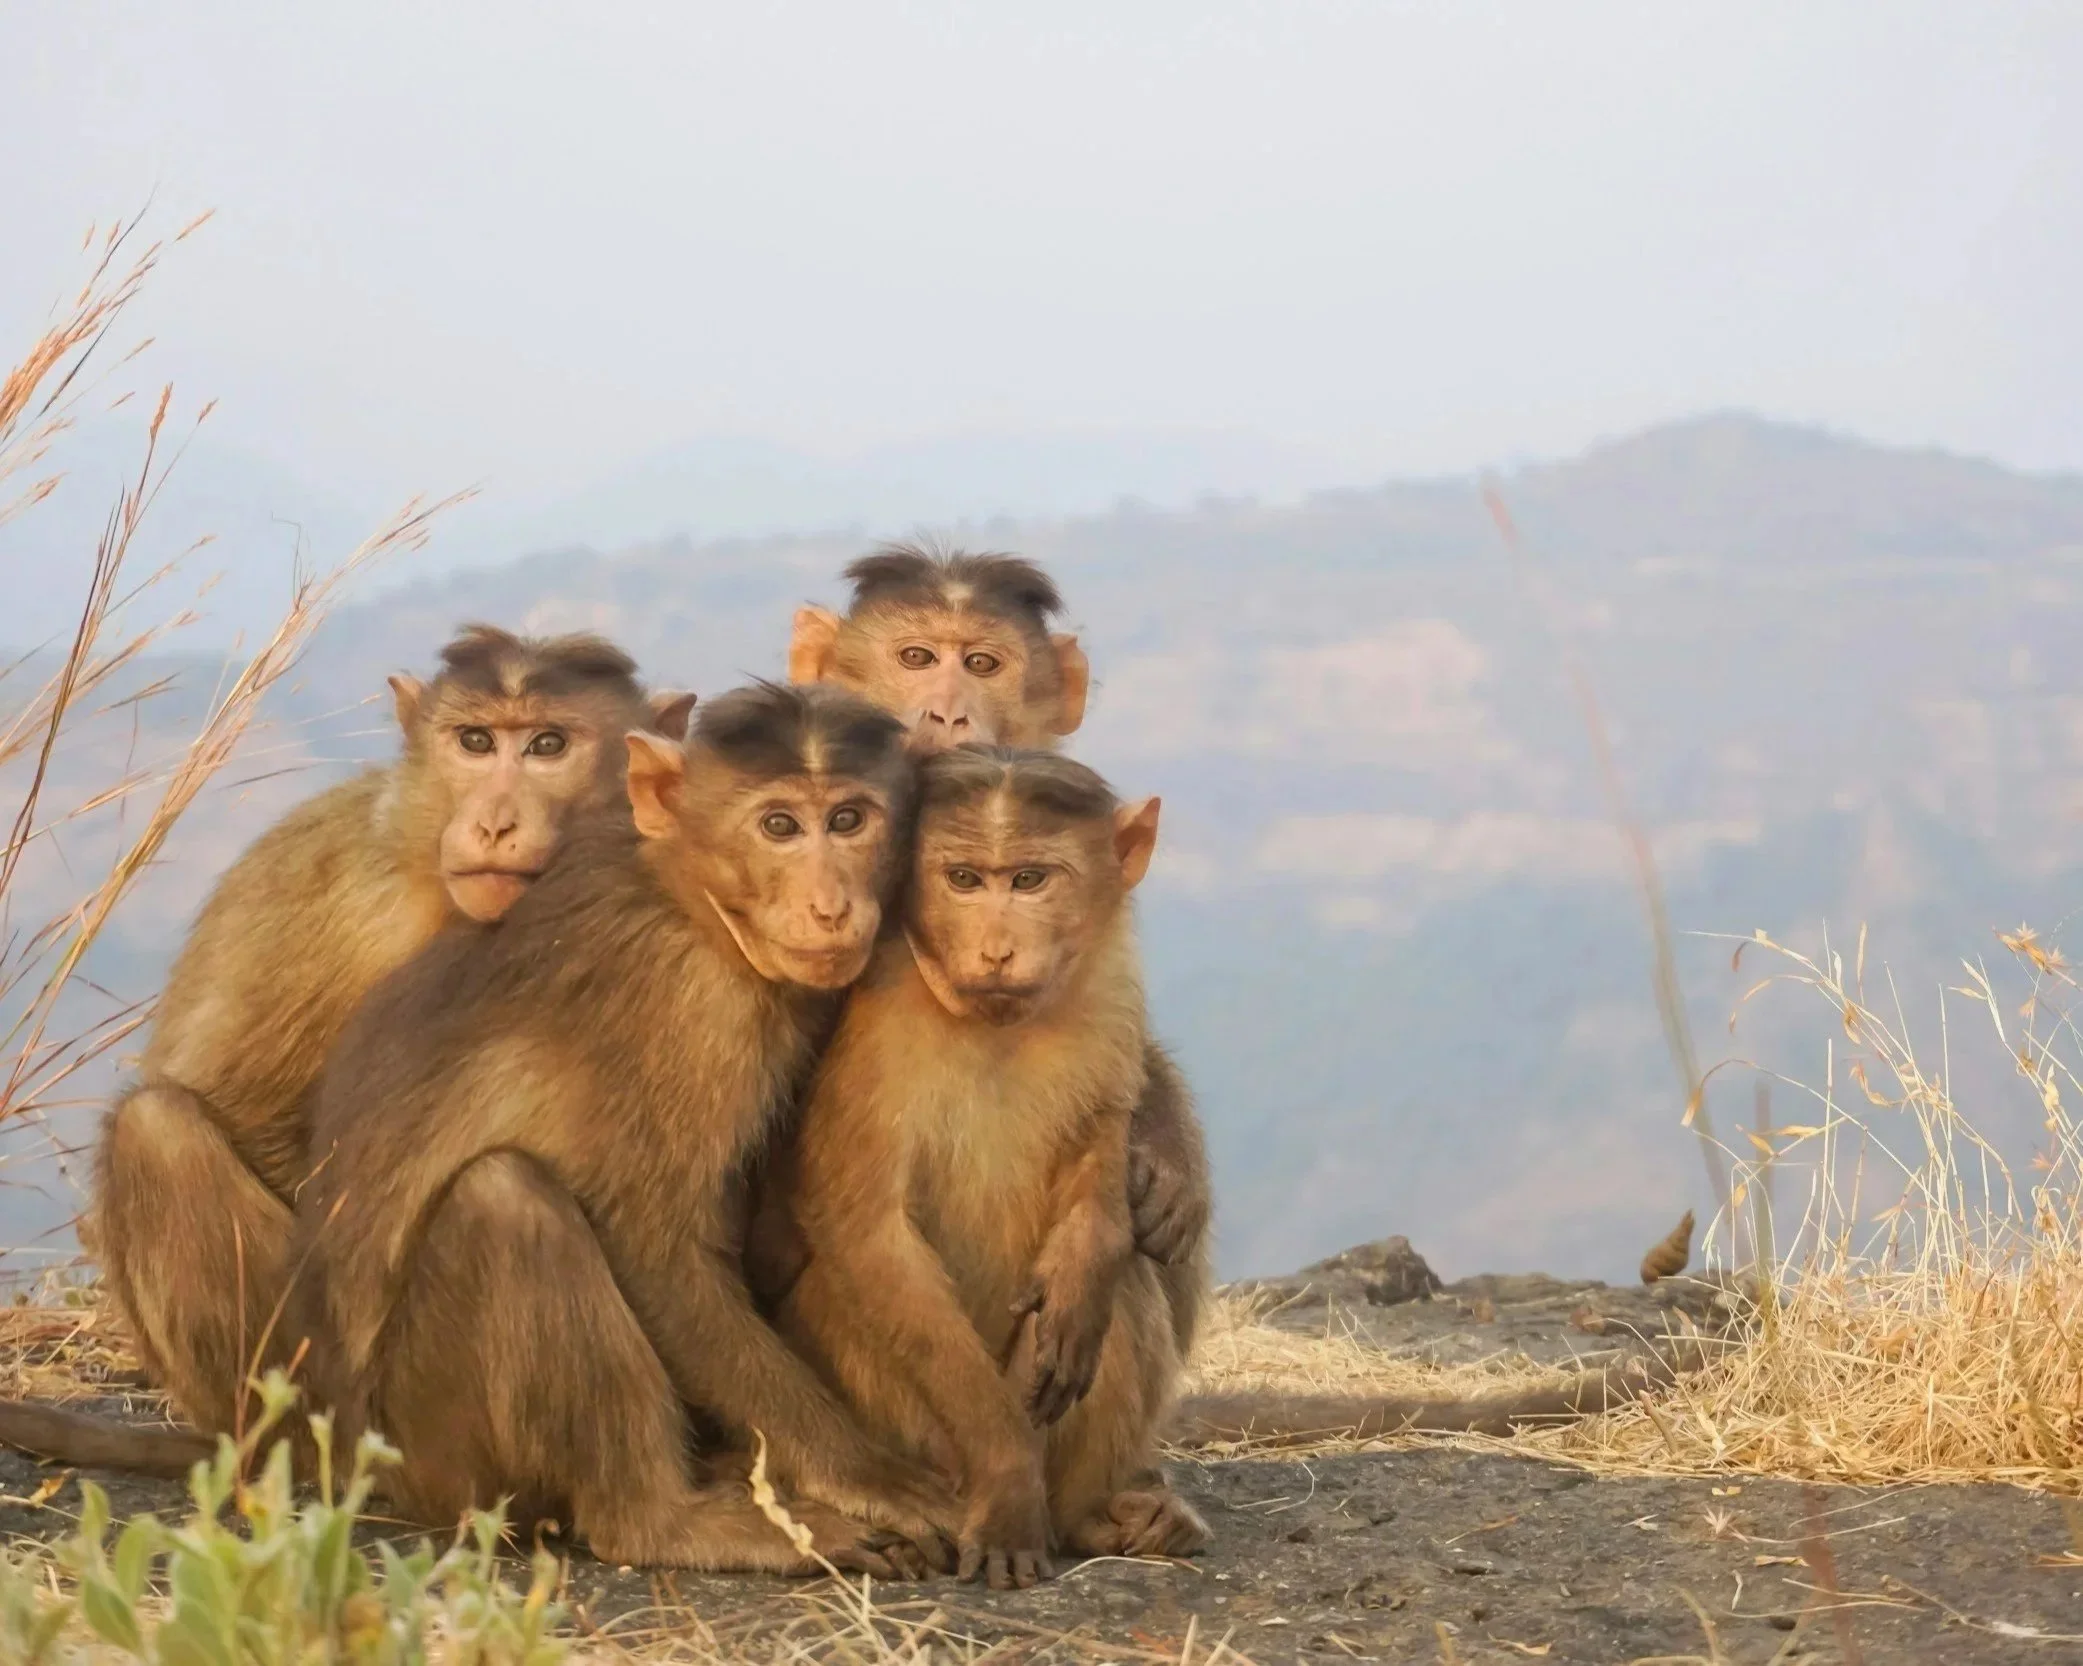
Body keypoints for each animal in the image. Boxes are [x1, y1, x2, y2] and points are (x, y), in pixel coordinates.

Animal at [86, 623, 696, 1439]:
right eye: (475, 742)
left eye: (547, 745)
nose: (494, 822)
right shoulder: (350, 905)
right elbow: (240, 1109)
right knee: (155, 1133)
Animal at [276, 681, 963, 1576]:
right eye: (780, 826)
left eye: (849, 819)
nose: (831, 904)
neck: (689, 903)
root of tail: (352, 1460)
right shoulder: (684, 1006)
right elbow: (657, 1247)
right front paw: (865, 1475)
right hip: (438, 1456)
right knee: (506, 1201)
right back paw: (662, 1520)